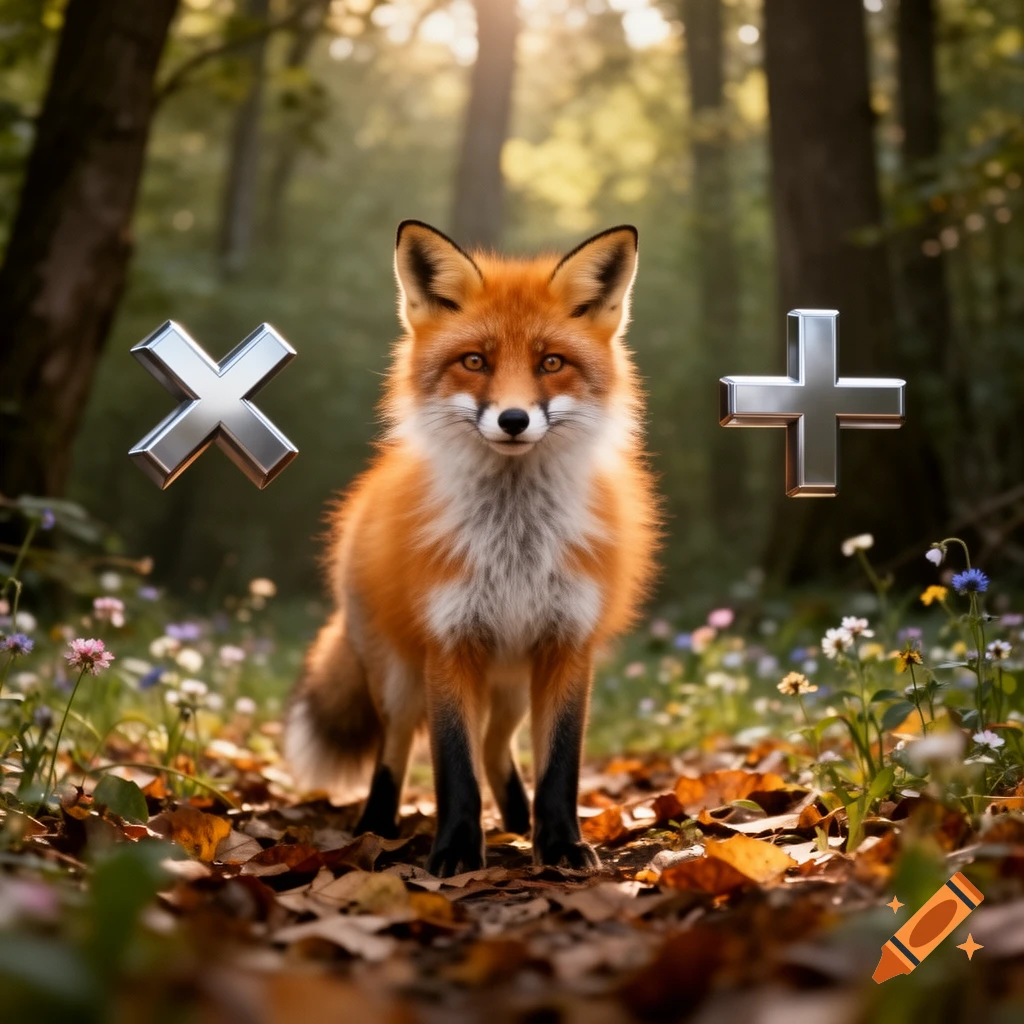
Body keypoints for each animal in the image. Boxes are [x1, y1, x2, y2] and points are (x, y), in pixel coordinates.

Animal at [284, 220, 659, 876]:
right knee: (397, 748)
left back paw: (516, 821)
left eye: (551, 362)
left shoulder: (567, 644)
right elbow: (452, 766)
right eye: (475, 361)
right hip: (400, 678)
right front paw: (457, 851)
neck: (515, 546)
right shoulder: (450, 643)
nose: (513, 419)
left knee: (494, 746)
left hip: (509, 682)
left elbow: (558, 765)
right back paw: (376, 828)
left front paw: (560, 844)